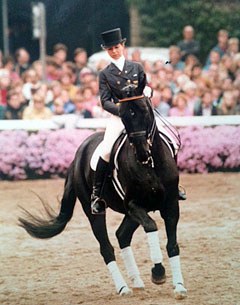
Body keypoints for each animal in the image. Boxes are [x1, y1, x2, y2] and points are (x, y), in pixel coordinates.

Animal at [18, 91, 188, 298]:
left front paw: (179, 286)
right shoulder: (134, 205)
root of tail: (77, 156)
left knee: (122, 235)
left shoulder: (170, 205)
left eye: (146, 112)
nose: (141, 152)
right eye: (124, 117)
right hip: (95, 211)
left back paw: (137, 282)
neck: (151, 165)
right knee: (106, 248)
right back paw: (123, 288)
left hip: (133, 213)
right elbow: (151, 226)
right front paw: (158, 272)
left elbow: (172, 244)